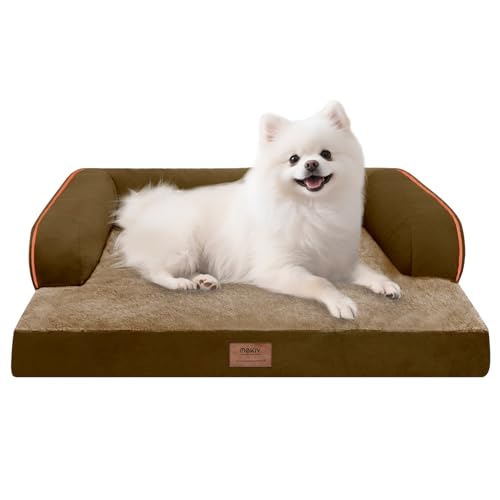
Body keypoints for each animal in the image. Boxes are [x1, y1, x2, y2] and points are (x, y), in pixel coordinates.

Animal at [115, 101, 401, 319]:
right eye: (293, 159)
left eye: (326, 154)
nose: (311, 164)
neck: (312, 207)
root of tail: (140, 211)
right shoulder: (278, 268)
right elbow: (319, 281)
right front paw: (341, 302)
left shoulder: (339, 260)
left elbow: (367, 271)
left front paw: (385, 284)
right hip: (184, 244)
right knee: (152, 270)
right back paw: (179, 282)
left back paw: (203, 280)